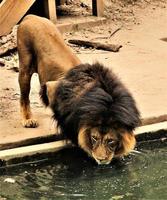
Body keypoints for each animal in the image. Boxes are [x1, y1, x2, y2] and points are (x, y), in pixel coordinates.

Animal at [17, 13, 140, 164]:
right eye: (94, 138)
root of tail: (31, 16)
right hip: (25, 67)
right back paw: (28, 120)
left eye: (111, 141)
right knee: (24, 97)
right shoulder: (55, 89)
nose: (101, 160)